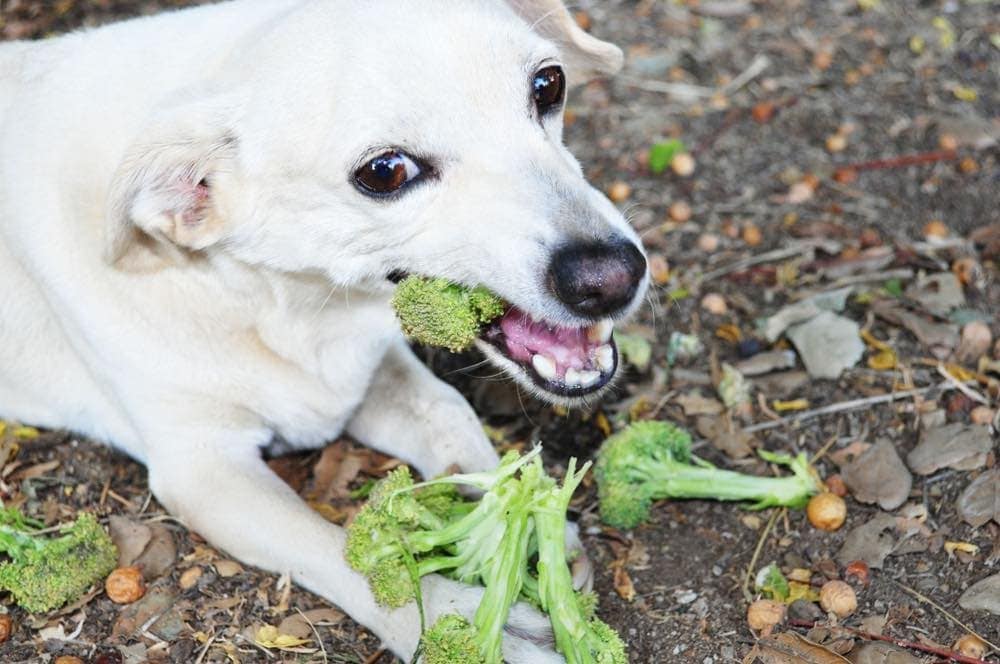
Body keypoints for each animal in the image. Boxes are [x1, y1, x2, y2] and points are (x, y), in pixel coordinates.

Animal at [0, 2, 648, 660]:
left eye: (549, 84)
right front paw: (460, 619)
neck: (281, 307)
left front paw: (528, 521)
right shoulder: (203, 469)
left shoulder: (370, 372)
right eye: (385, 172)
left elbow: (450, 417)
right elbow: (345, 555)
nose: (613, 278)